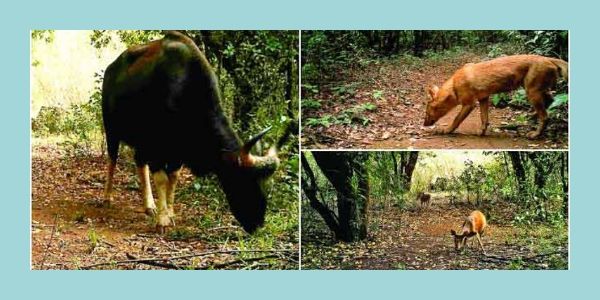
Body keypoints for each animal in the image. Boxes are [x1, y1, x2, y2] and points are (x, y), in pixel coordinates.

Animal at [424, 55, 568, 138]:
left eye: (427, 111)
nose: (424, 124)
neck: (454, 85)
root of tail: (549, 58)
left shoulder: (470, 104)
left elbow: (456, 120)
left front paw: (446, 131)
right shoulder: (483, 98)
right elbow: (484, 119)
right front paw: (482, 133)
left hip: (532, 92)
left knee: (545, 116)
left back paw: (535, 134)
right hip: (538, 91)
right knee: (551, 102)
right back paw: (533, 117)